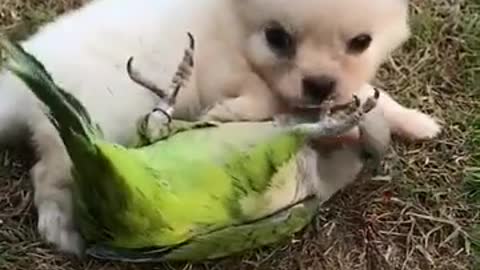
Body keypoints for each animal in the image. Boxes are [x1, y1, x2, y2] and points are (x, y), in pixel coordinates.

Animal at [0, 0, 440, 256]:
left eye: (361, 41)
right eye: (277, 37)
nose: (319, 84)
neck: (231, 23)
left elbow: (369, 93)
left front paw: (415, 121)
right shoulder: (227, 72)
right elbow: (263, 99)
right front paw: (230, 111)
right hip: (98, 119)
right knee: (49, 171)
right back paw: (62, 230)